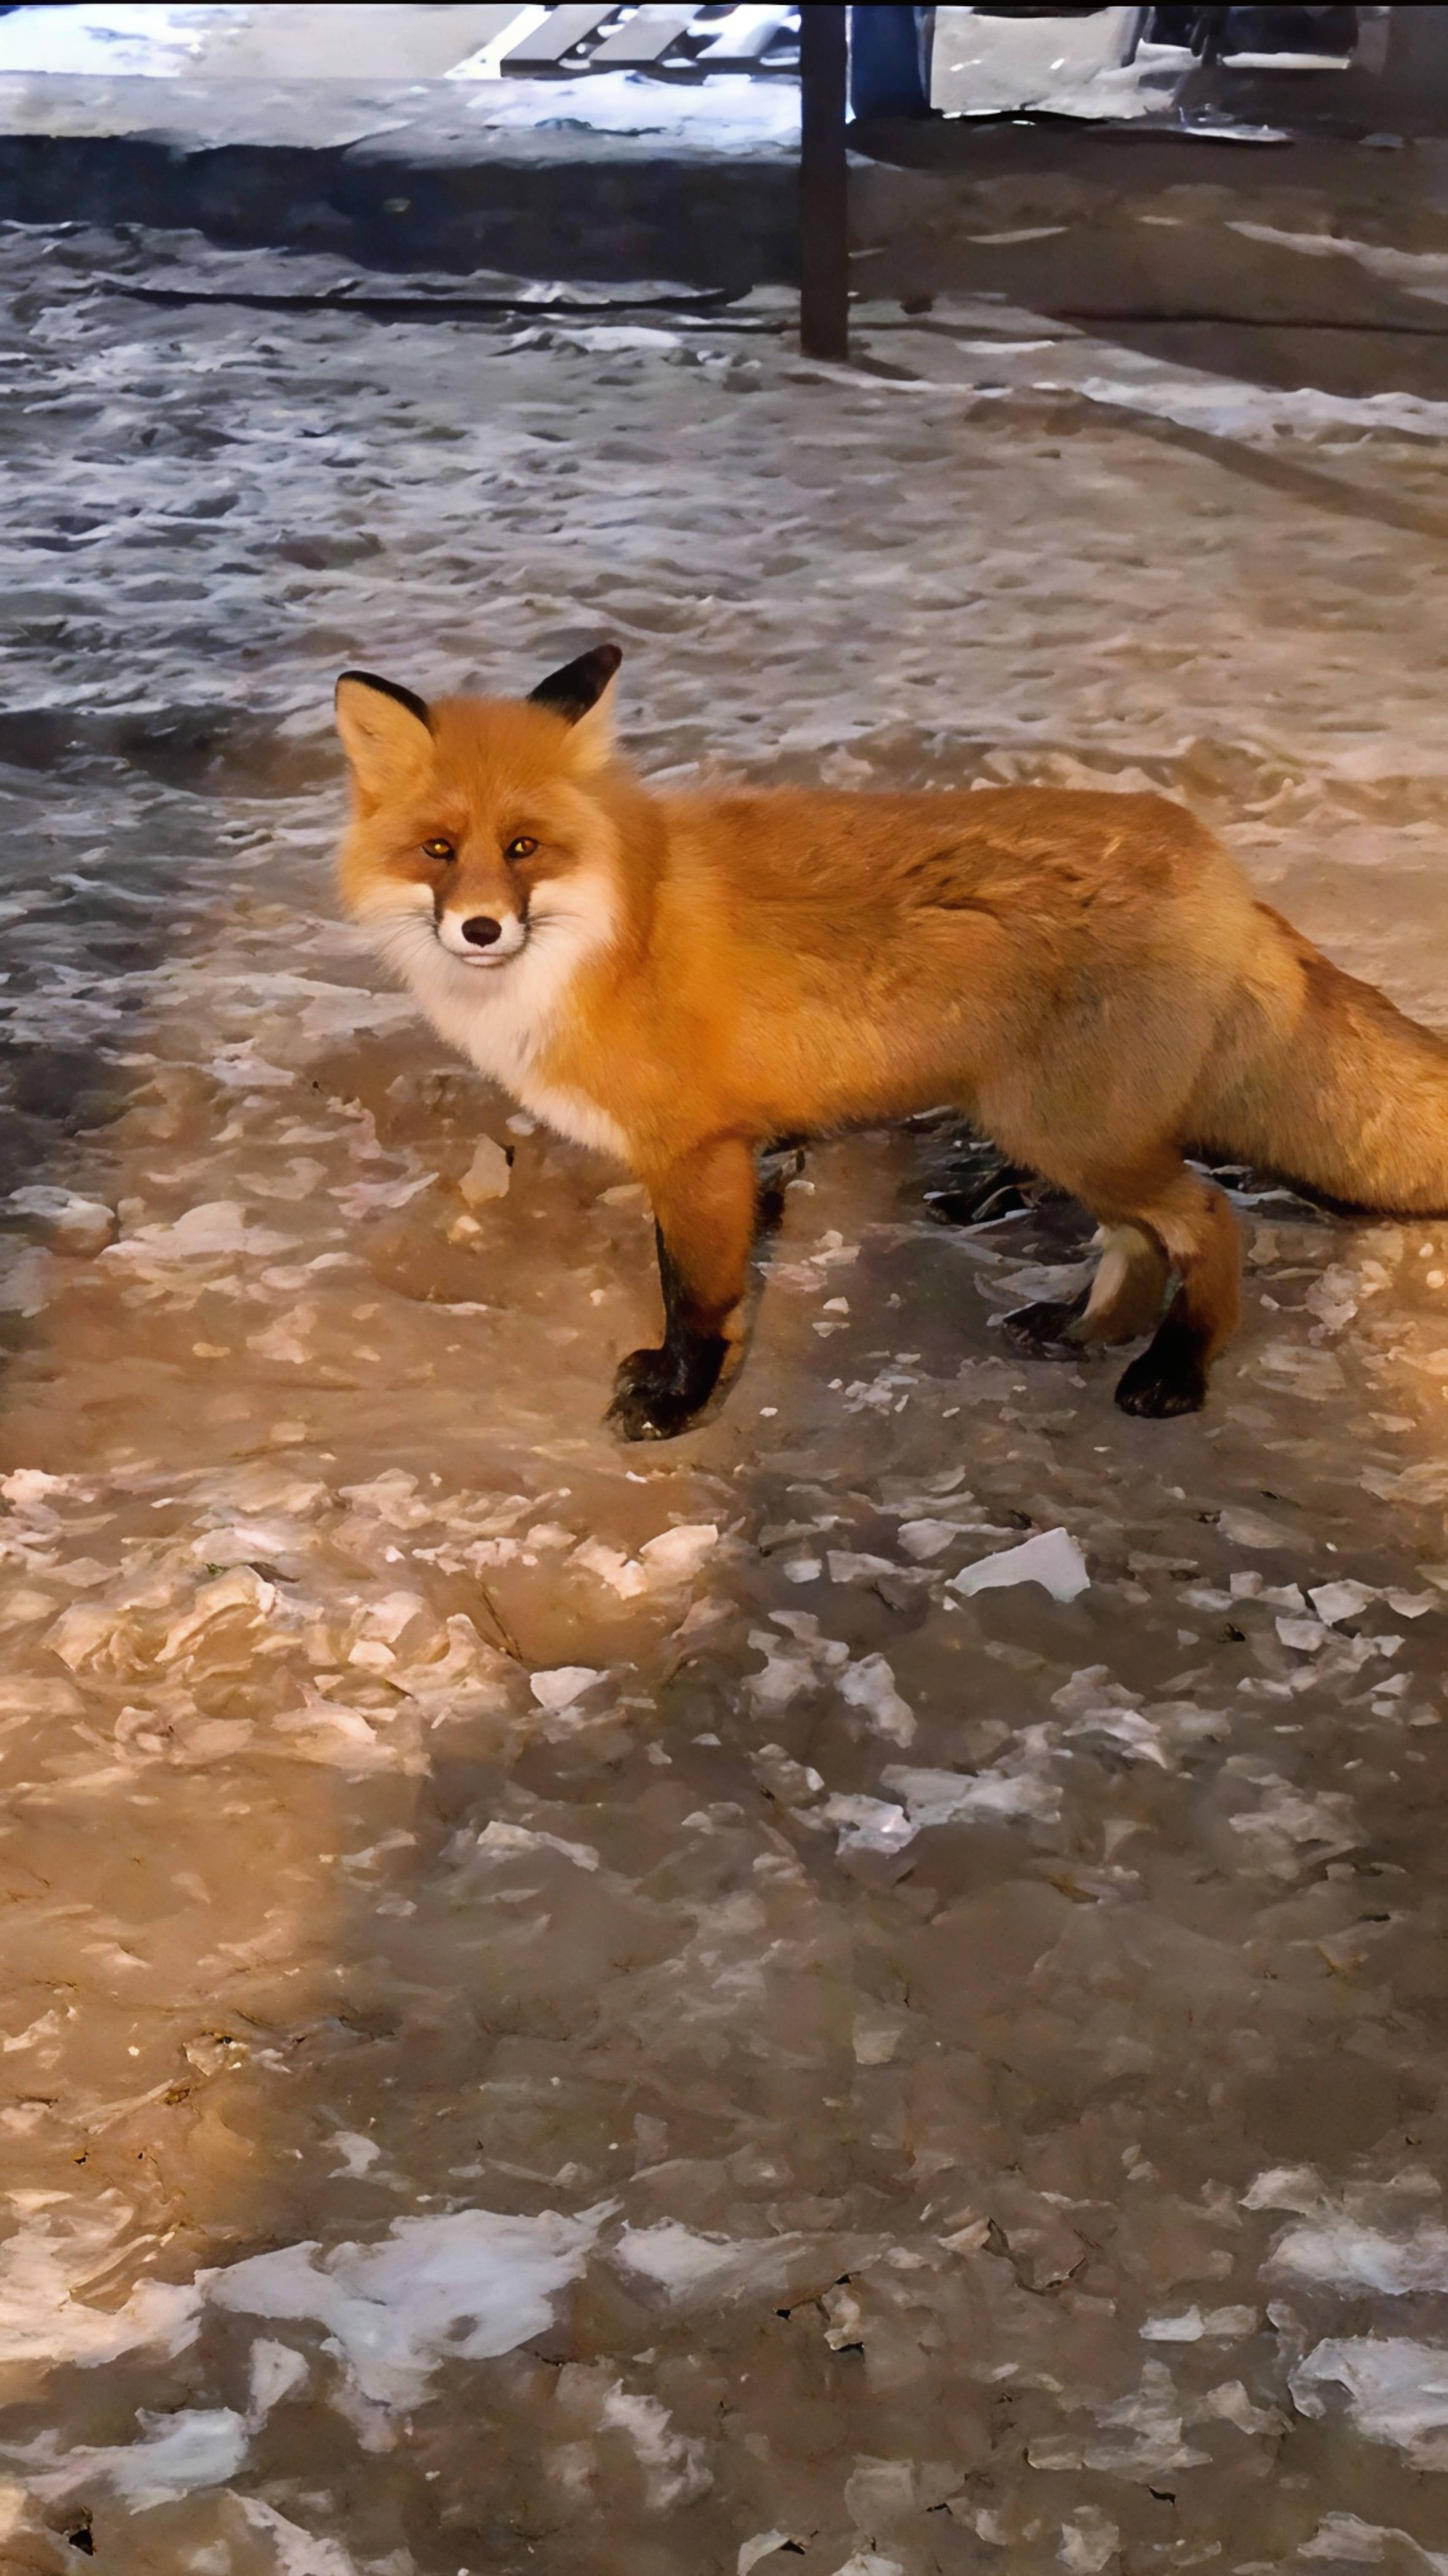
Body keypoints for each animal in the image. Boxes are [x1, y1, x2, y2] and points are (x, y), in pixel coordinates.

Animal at [334, 643, 1448, 1441]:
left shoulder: (699, 1152)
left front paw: (676, 1404)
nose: (481, 930)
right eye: (439, 851)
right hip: (1066, 1130)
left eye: (525, 848)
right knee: (1139, 1238)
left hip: (1068, 1129)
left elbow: (696, 1298)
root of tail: (1223, 867)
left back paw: (1173, 1369)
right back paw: (1085, 1327)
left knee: (1213, 1221)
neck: (614, 929)